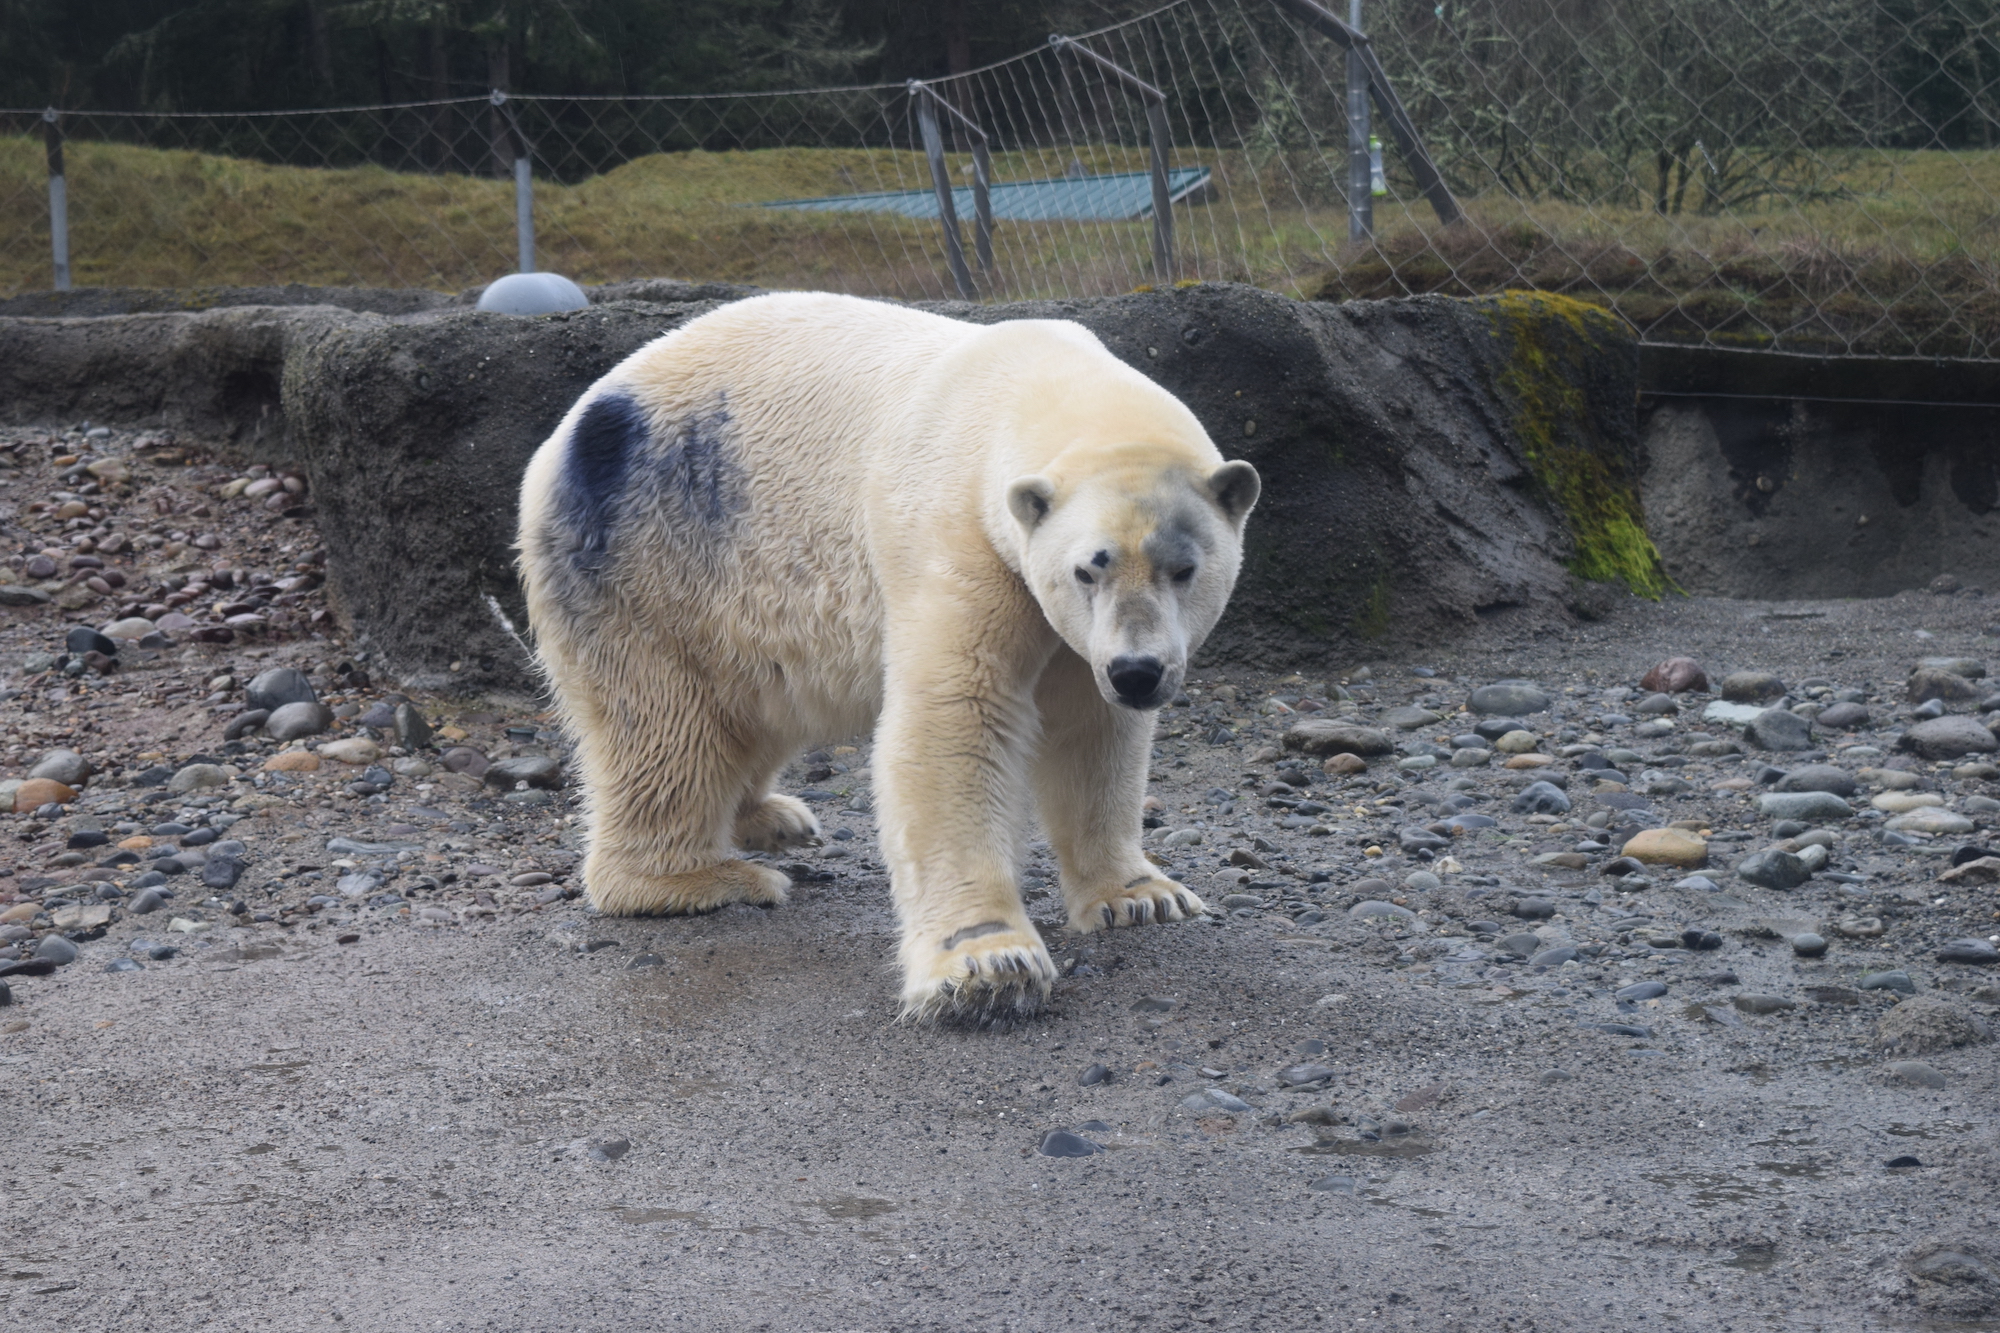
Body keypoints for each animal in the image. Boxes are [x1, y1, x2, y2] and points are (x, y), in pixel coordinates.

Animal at [516, 291, 1259, 1023]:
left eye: (1184, 569)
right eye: (1087, 568)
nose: (1137, 672)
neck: (1031, 384)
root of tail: (562, 440)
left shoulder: (1071, 625)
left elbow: (1091, 729)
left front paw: (1143, 896)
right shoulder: (958, 537)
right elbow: (955, 717)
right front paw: (989, 968)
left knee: (758, 700)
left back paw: (773, 816)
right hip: (653, 558)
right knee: (664, 728)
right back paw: (703, 877)